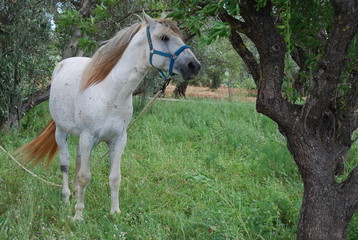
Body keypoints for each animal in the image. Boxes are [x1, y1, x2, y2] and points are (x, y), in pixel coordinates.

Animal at [18, 12, 200, 219]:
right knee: (65, 163)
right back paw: (66, 197)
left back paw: (75, 193)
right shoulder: (87, 137)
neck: (109, 94)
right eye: (164, 37)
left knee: (78, 160)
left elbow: (114, 177)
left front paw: (115, 212)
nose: (194, 66)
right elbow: (84, 176)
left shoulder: (118, 139)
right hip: (61, 131)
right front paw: (78, 215)